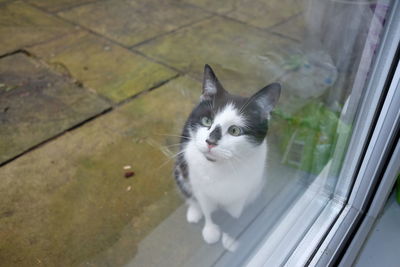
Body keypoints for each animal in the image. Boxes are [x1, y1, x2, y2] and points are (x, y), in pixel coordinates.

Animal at [173, 65, 280, 249]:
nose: (210, 142)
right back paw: (194, 211)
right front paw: (210, 231)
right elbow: (206, 207)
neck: (220, 168)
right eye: (207, 121)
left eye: (235, 130)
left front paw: (232, 236)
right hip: (180, 168)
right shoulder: (199, 184)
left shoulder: (244, 188)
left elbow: (236, 211)